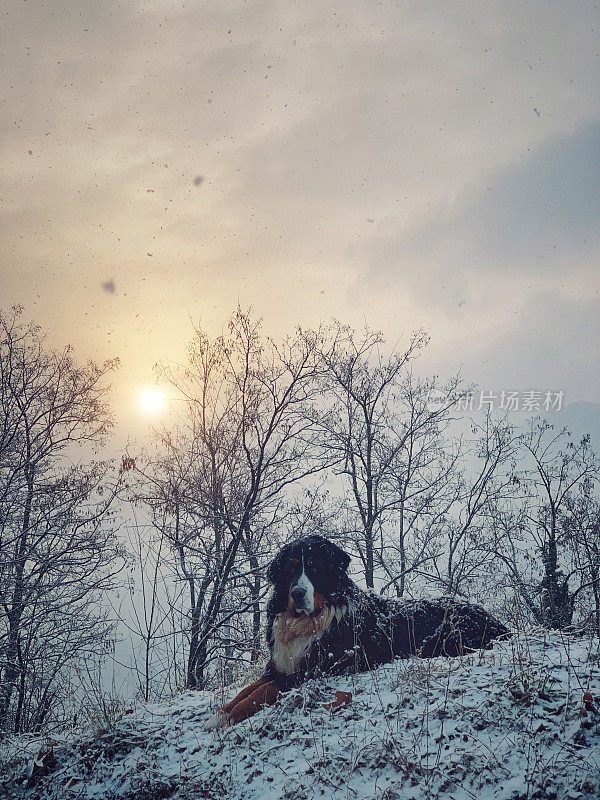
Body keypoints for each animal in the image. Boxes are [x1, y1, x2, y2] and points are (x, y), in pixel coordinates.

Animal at [205, 536, 506, 728]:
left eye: (314, 567)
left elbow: (264, 691)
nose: (298, 593)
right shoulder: (280, 664)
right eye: (290, 568)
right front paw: (221, 712)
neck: (308, 622)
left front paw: (228, 717)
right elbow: (248, 689)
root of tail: (494, 619)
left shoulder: (315, 670)